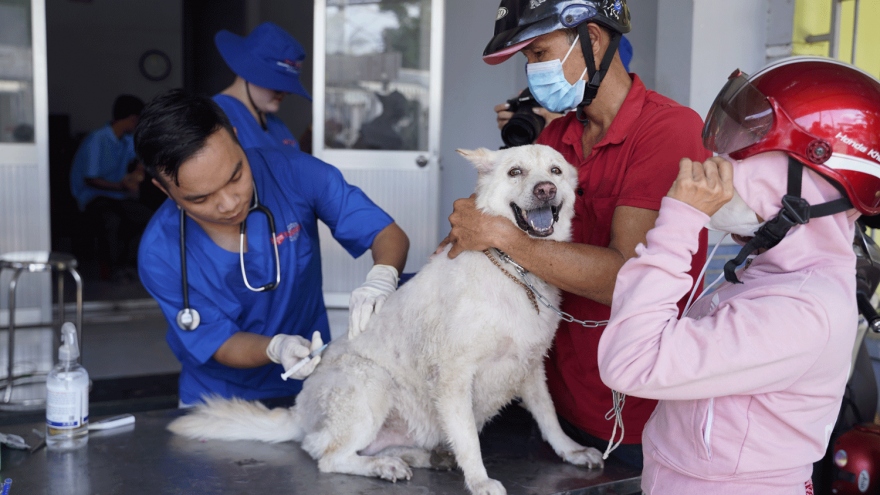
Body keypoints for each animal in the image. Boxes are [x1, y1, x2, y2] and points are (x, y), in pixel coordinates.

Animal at [166, 145, 604, 494]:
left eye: (555, 171)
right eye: (515, 172)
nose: (545, 190)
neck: (516, 271)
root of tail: (299, 413)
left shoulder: (530, 368)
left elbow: (549, 419)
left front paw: (571, 451)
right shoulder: (454, 379)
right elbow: (469, 441)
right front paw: (479, 481)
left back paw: (418, 458)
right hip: (371, 385)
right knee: (326, 454)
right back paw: (382, 465)